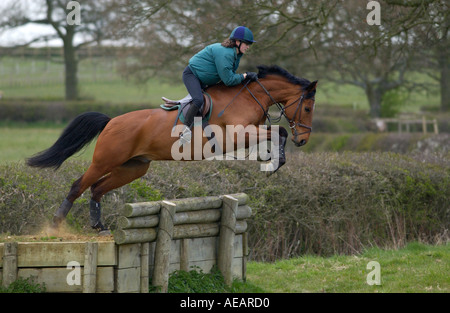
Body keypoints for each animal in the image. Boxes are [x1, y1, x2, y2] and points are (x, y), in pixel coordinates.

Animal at [28, 64, 316, 233]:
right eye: (308, 107)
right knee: (79, 185)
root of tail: (111, 121)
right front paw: (274, 162)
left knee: (97, 188)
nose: (303, 140)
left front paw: (270, 158)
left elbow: (276, 133)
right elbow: (279, 132)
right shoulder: (235, 136)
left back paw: (99, 226)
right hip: (105, 161)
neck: (247, 96)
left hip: (133, 168)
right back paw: (55, 225)